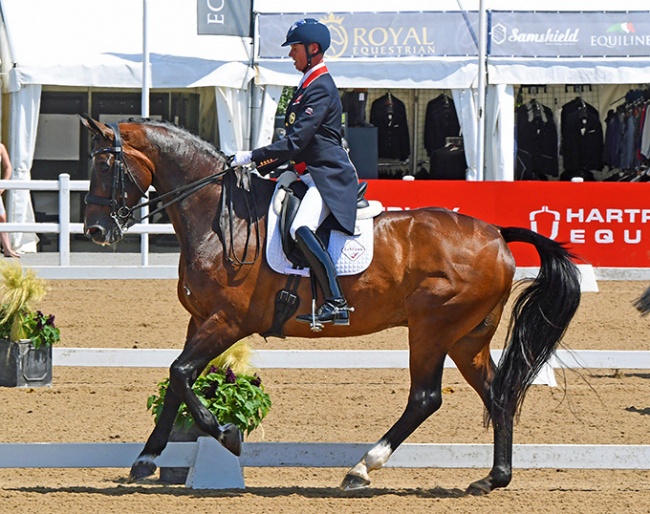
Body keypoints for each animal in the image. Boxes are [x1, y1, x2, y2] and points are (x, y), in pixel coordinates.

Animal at [78, 115, 580, 492]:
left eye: (104, 165)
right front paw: (146, 459)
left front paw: (227, 436)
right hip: (466, 337)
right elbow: (175, 381)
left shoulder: (227, 321)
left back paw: (362, 468)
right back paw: (493, 478)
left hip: (432, 329)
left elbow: (181, 374)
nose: (96, 231)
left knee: (425, 397)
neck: (220, 219)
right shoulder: (200, 319)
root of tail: (496, 233)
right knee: (497, 393)